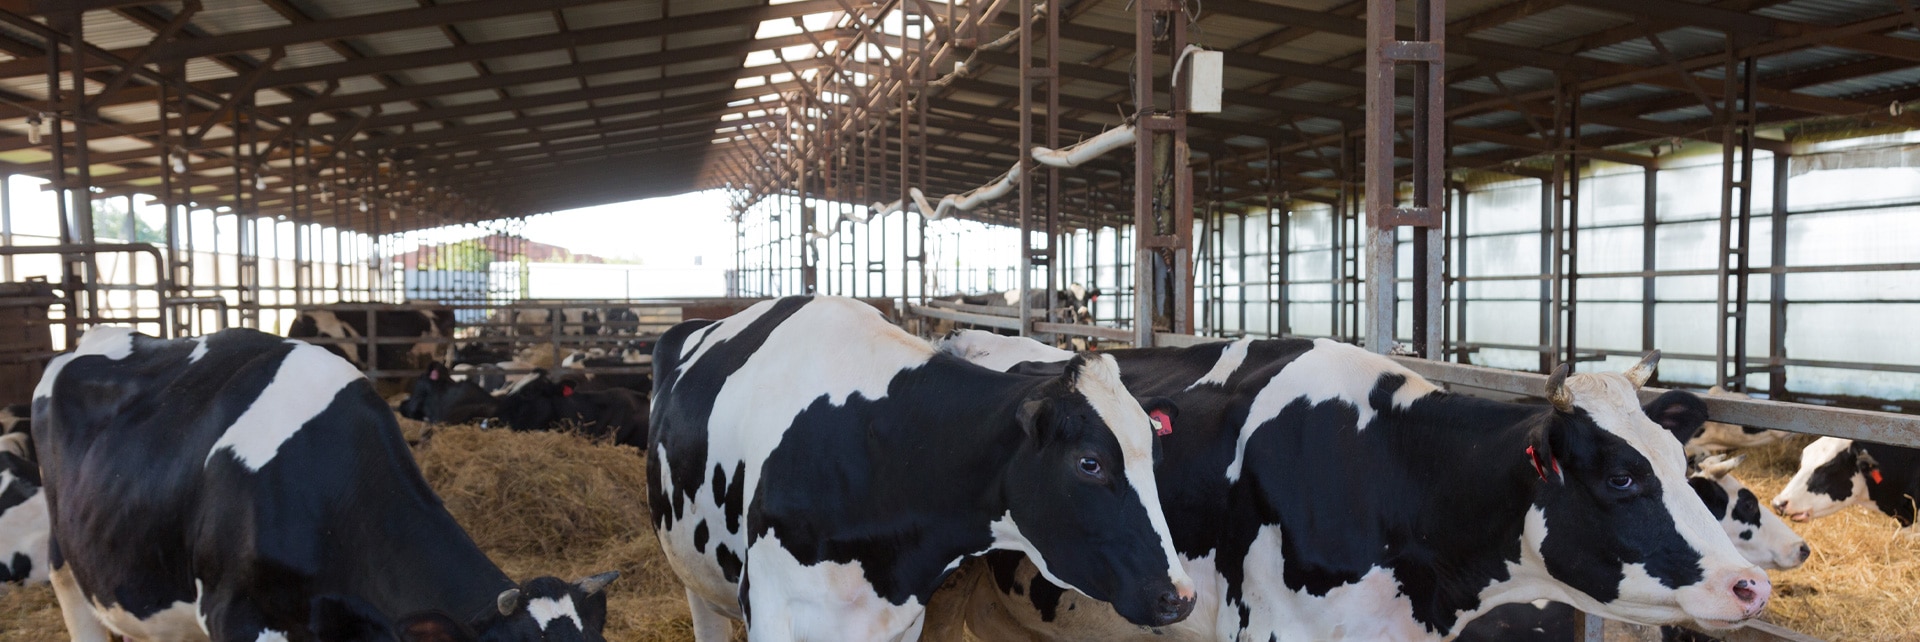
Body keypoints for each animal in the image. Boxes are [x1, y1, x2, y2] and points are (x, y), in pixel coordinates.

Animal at [652, 297, 1190, 642]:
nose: (1179, 597)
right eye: (1089, 463)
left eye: (1156, 457)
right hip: (694, 579)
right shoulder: (771, 610)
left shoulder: (903, 618)